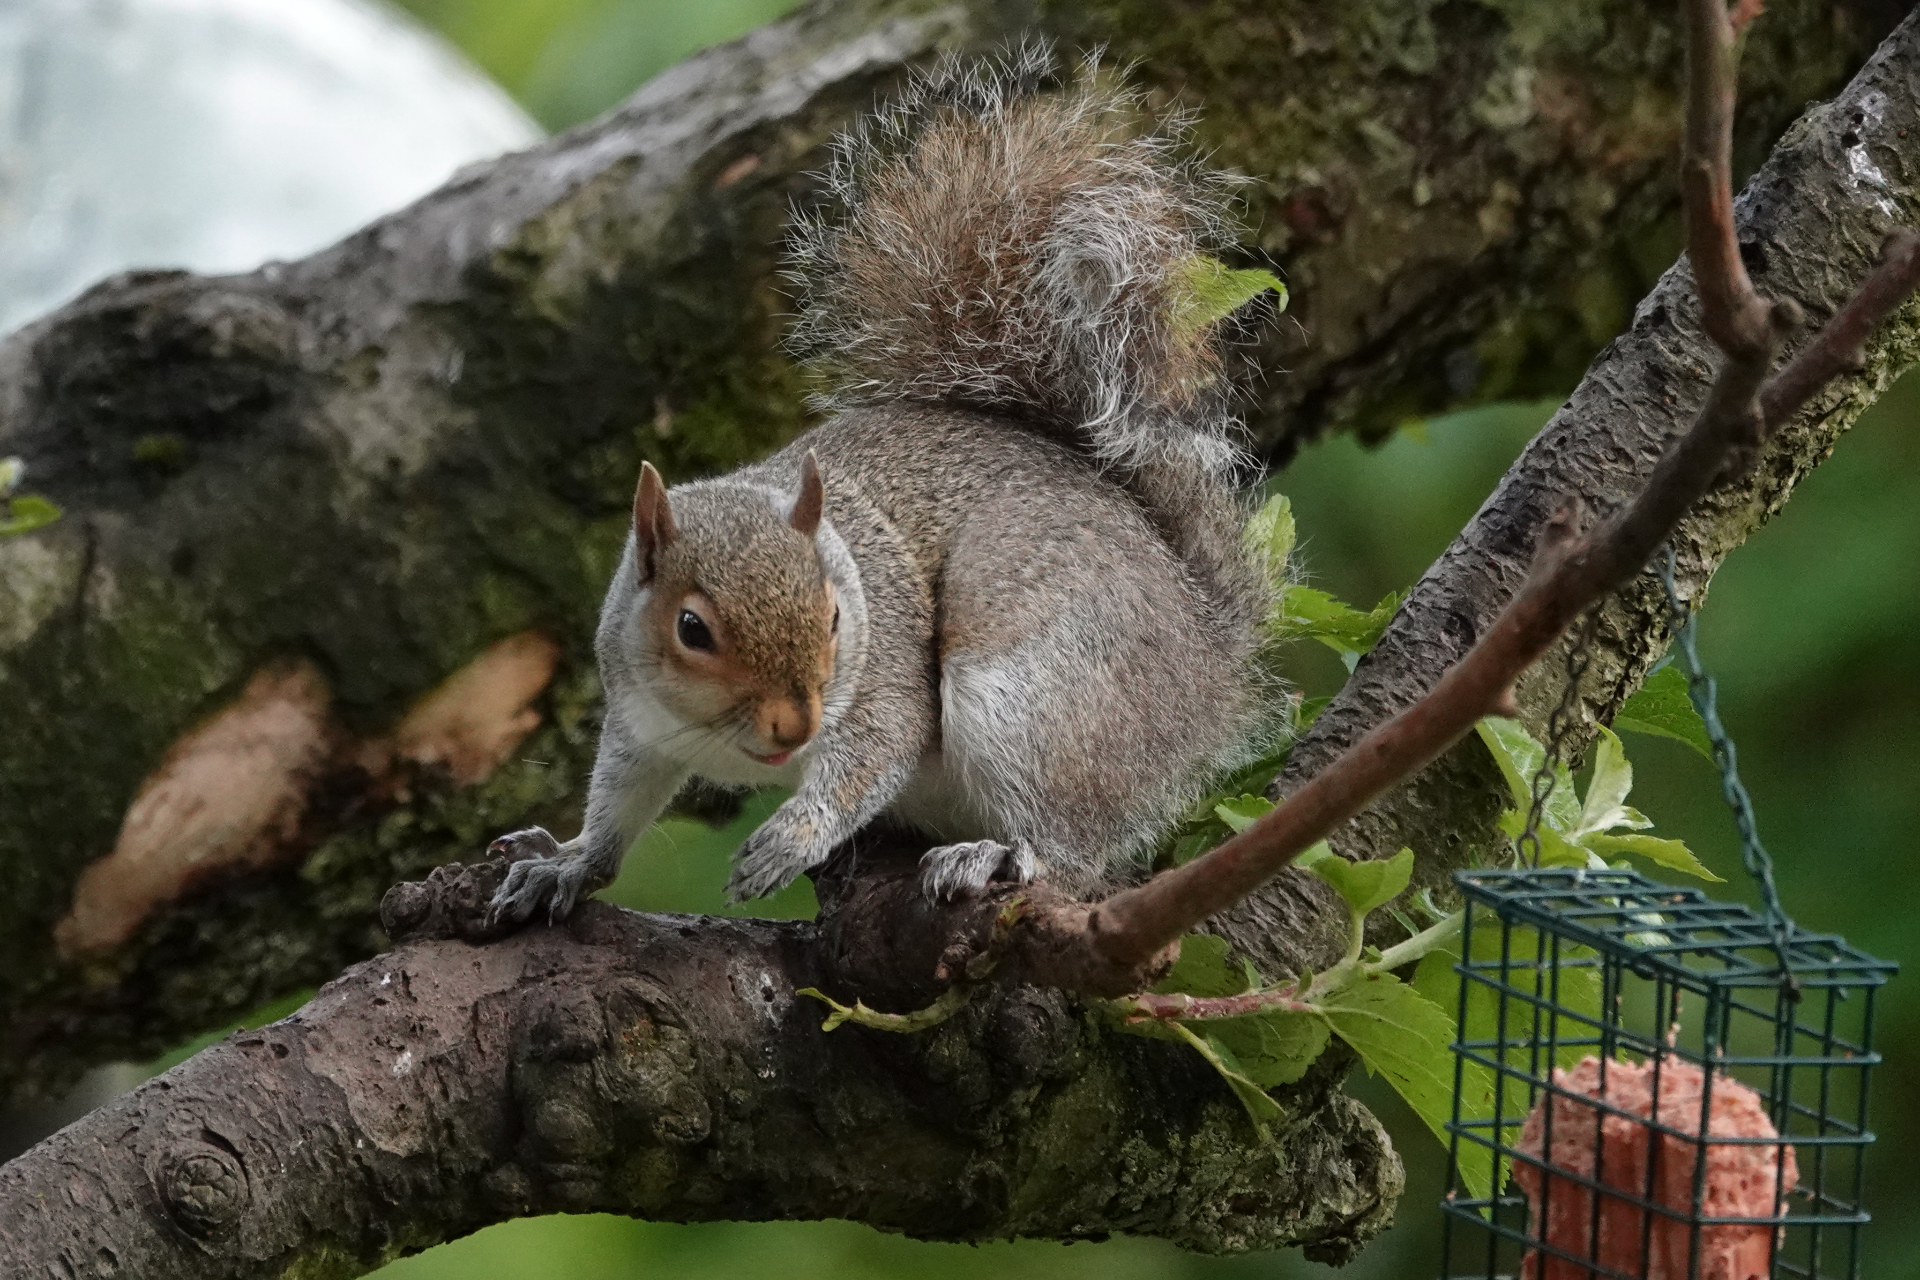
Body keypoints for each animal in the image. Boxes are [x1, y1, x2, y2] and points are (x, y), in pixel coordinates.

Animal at [487, 44, 1283, 923]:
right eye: (691, 629)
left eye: (837, 613)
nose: (794, 728)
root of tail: (1212, 660)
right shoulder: (637, 719)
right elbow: (618, 802)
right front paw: (567, 863)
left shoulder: (887, 680)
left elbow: (878, 748)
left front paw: (792, 840)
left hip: (1037, 689)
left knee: (1076, 854)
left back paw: (998, 855)